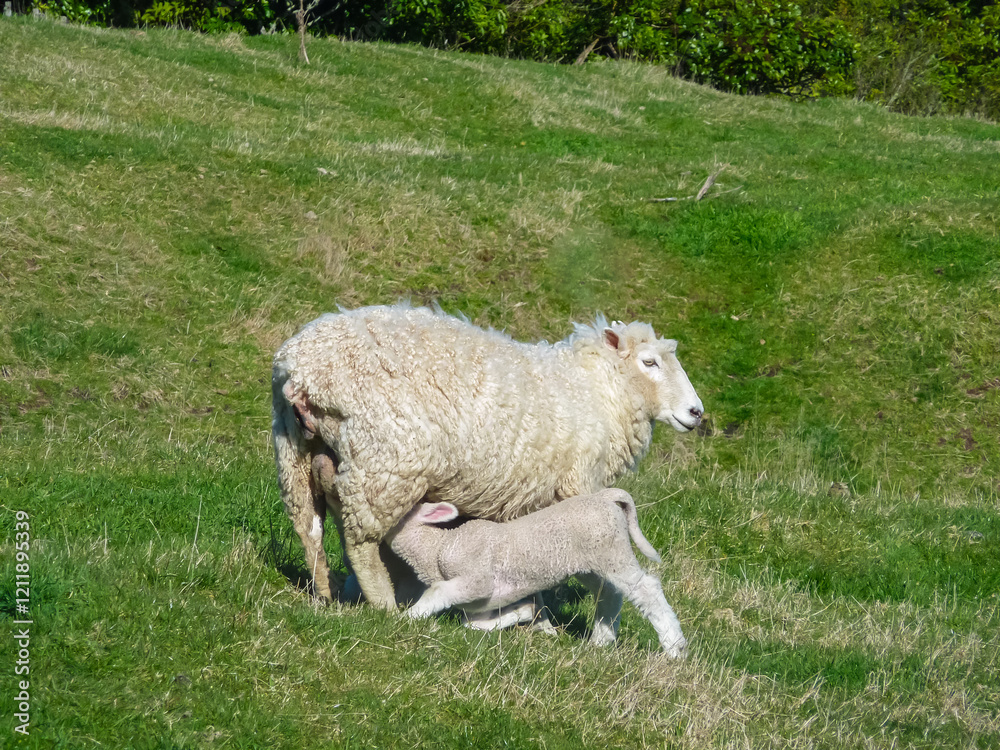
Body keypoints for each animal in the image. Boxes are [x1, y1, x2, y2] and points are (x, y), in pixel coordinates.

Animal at [272, 304, 703, 608]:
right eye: (650, 362)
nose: (696, 412)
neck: (596, 390)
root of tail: (302, 371)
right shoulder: (576, 483)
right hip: (386, 462)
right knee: (360, 541)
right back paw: (384, 605)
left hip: (295, 449)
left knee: (309, 527)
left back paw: (326, 593)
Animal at [385, 488, 688, 657]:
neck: (437, 549)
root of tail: (604, 497)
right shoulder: (479, 604)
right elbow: (472, 624)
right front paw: (522, 613)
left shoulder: (477, 580)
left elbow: (437, 593)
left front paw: (406, 618)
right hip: (592, 561)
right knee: (610, 594)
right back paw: (601, 641)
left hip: (611, 550)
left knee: (646, 589)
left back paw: (674, 648)